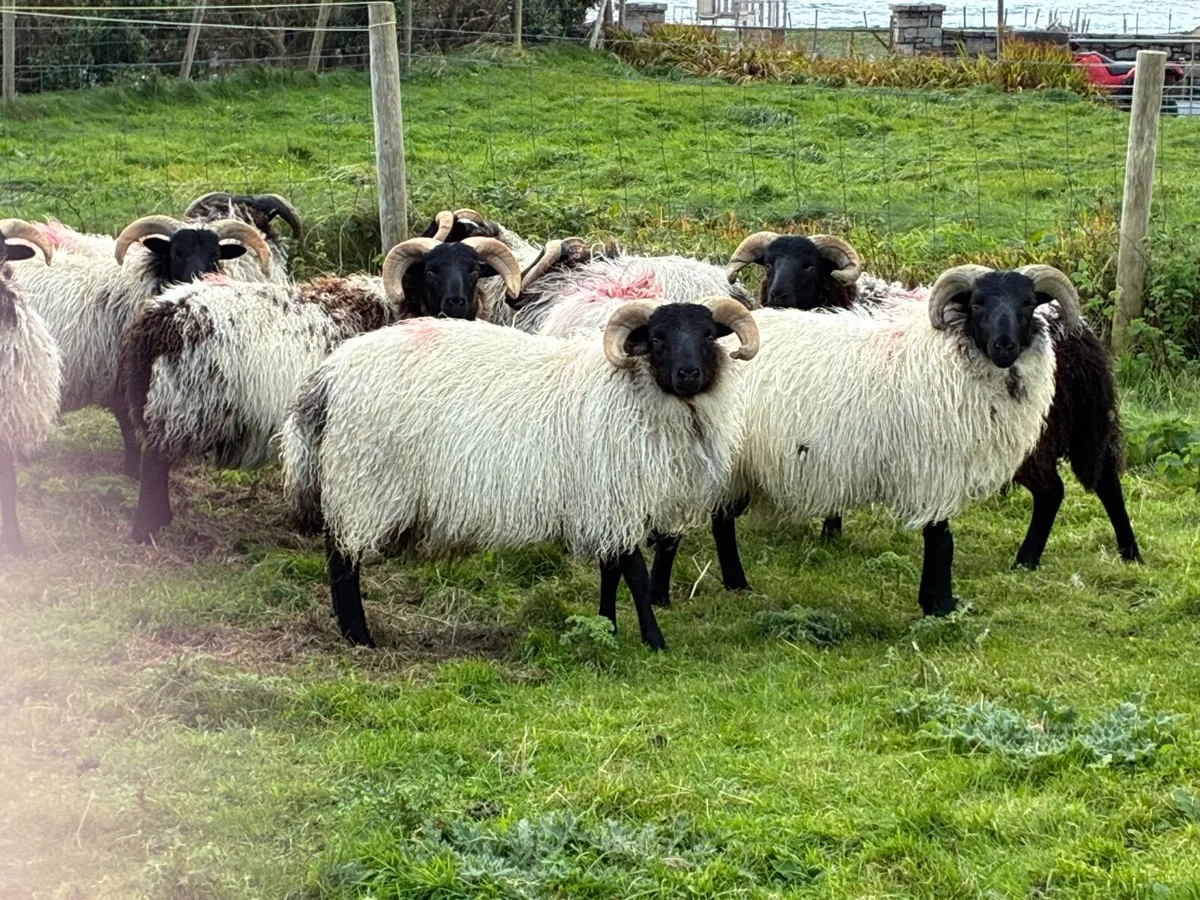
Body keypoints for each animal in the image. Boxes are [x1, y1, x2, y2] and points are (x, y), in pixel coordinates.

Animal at [10, 214, 272, 479]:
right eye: (175, 254)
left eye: (215, 256)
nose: (198, 281)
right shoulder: (122, 383)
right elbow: (130, 433)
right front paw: (133, 472)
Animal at [120, 236, 522, 542]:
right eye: (431, 270)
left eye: (474, 271)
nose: (456, 303)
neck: (398, 309)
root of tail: (159, 318)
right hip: (185, 403)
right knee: (155, 460)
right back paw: (146, 528)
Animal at [279, 298, 760, 649]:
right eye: (657, 338)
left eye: (707, 334)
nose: (688, 374)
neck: (633, 392)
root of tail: (327, 376)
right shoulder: (614, 498)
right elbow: (636, 577)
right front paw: (654, 640)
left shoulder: (603, 501)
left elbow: (610, 571)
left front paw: (606, 626)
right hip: (363, 480)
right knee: (342, 559)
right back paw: (358, 636)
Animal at [650, 264, 1073, 617]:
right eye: (978, 304)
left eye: (1027, 304)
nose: (1004, 345)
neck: (947, 356)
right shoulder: (933, 469)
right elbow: (942, 542)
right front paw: (940, 606)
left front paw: (935, 601)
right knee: (677, 529)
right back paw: (660, 598)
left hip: (735, 467)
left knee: (721, 521)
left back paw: (737, 584)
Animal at [726, 231, 1141, 567]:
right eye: (768, 263)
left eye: (810, 264)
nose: (778, 295)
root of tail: (1075, 331)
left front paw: (830, 532)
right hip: (1088, 420)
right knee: (1106, 479)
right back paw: (1130, 552)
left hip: (1041, 433)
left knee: (1051, 491)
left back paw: (1026, 560)